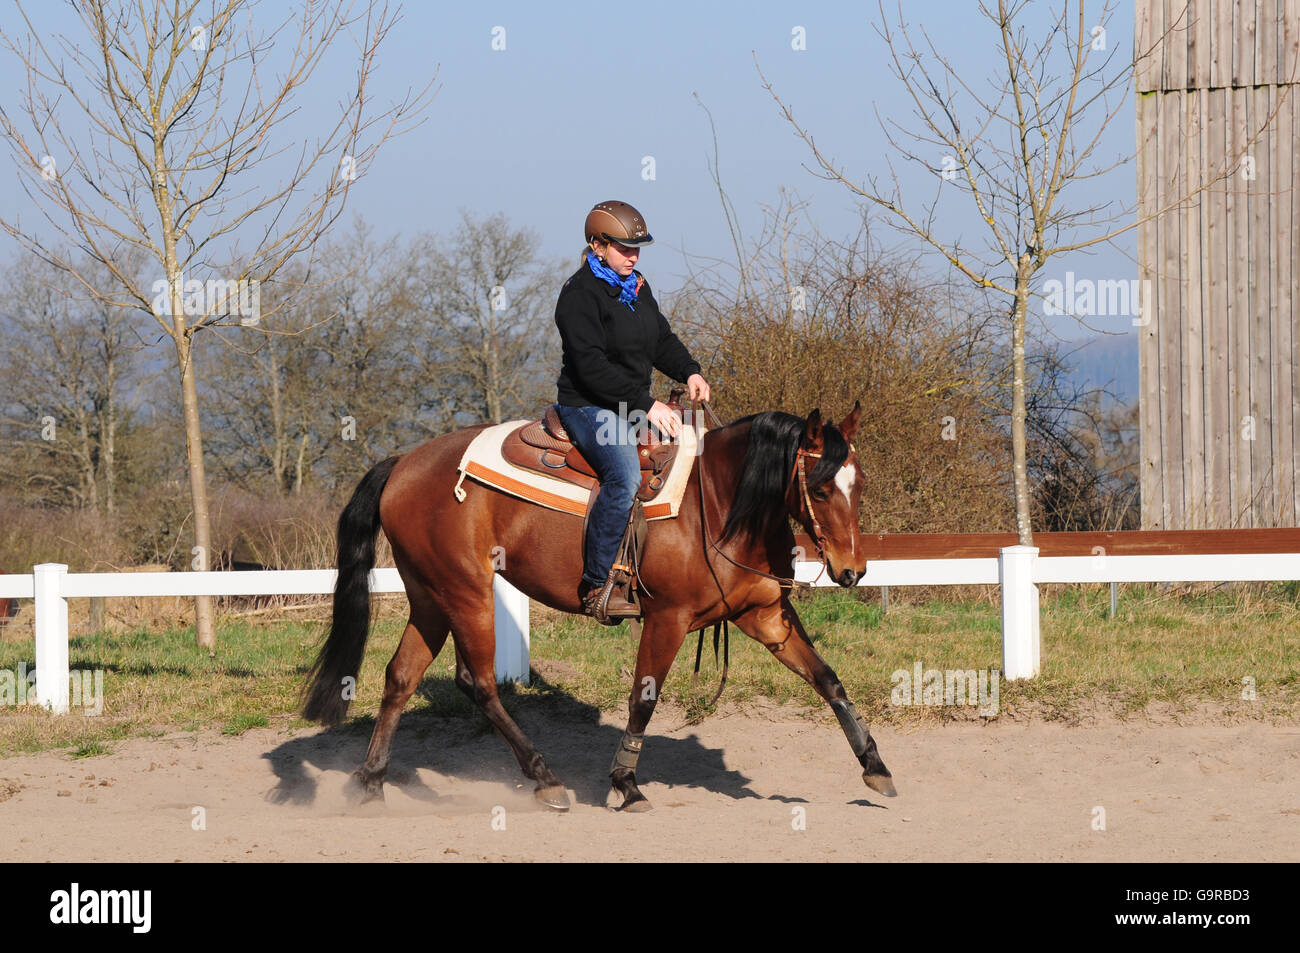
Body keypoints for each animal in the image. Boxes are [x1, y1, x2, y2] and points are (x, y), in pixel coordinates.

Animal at [302, 400, 896, 812]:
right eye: (820, 488)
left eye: (860, 483)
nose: (852, 570)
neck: (718, 502)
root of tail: (404, 462)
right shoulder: (667, 620)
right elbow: (643, 701)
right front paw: (626, 785)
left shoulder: (766, 615)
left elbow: (828, 679)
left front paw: (875, 765)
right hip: (466, 593)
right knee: (479, 683)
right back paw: (545, 779)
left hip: (429, 597)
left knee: (401, 677)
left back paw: (370, 783)